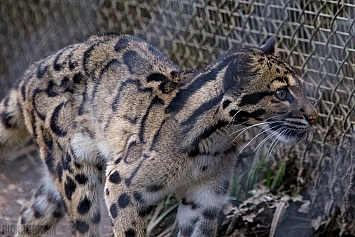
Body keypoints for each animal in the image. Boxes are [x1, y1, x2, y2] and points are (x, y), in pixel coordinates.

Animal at [0, 33, 318, 237]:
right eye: (281, 92)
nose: (314, 116)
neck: (216, 142)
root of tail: (29, 73)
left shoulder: (205, 199)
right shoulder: (121, 184)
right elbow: (129, 231)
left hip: (59, 183)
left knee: (28, 218)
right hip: (76, 178)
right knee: (81, 227)